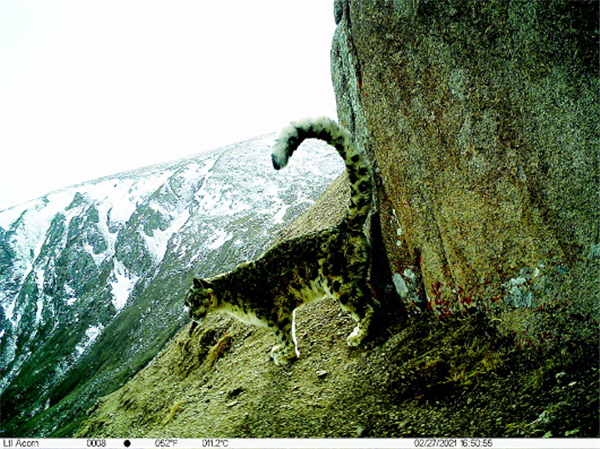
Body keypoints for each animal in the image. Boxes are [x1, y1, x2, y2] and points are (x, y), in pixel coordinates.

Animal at [184, 116, 376, 364]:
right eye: (187, 304)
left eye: (192, 301)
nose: (191, 315)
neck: (229, 301)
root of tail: (342, 226)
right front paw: (281, 351)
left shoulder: (275, 313)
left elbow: (283, 334)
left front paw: (285, 354)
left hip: (340, 283)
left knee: (367, 307)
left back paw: (357, 336)